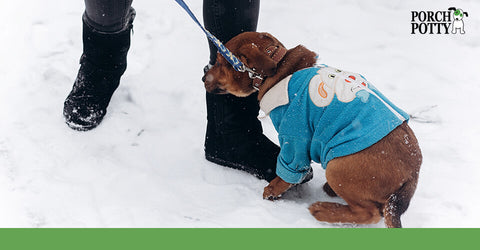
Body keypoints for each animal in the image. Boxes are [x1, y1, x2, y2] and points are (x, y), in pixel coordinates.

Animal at [204, 31, 422, 229]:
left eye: (220, 63)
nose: (203, 75)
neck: (279, 69)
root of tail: (412, 176)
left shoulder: (294, 138)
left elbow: (287, 172)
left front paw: (273, 189)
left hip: (337, 167)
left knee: (369, 214)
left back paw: (323, 210)